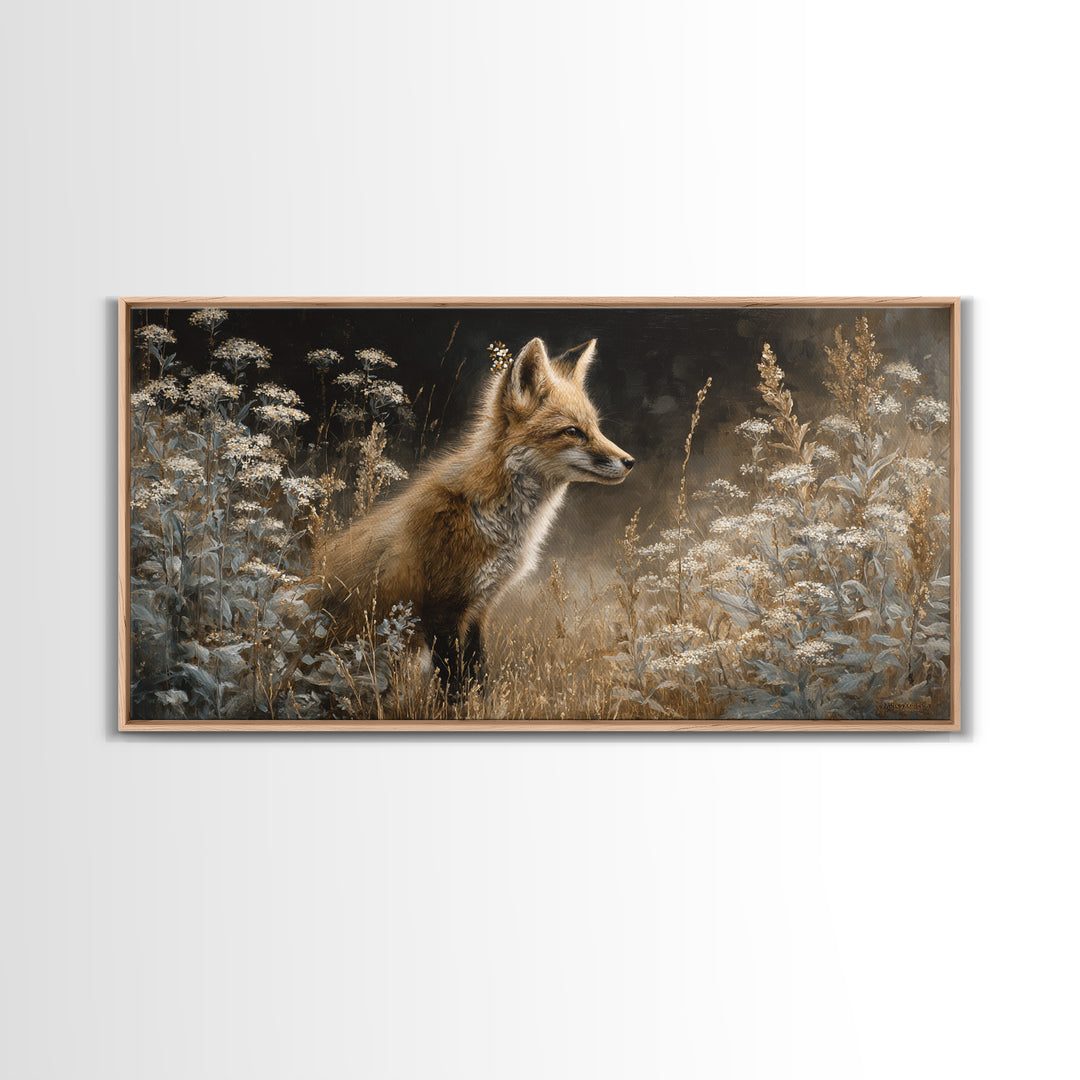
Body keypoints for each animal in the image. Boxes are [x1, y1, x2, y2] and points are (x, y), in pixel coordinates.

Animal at [316, 336, 634, 692]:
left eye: (595, 428)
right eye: (573, 431)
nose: (629, 461)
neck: (490, 518)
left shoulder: (479, 607)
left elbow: (477, 677)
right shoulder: (443, 609)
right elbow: (454, 686)